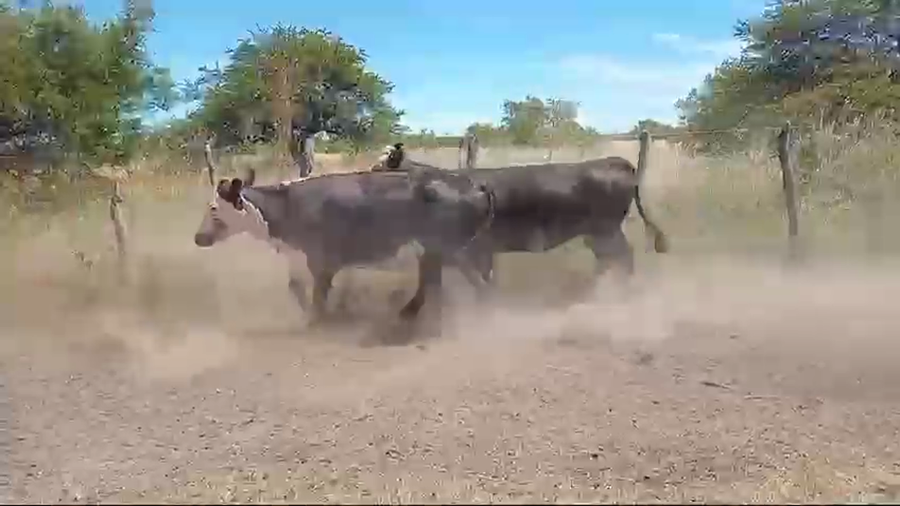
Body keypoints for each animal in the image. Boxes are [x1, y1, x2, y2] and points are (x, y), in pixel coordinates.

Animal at [193, 142, 496, 329]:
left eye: (213, 208)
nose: (198, 237)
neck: (289, 204)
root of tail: (475, 185)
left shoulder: (321, 261)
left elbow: (317, 295)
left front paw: (316, 320)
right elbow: (298, 286)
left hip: (443, 250)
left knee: (458, 282)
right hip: (441, 253)